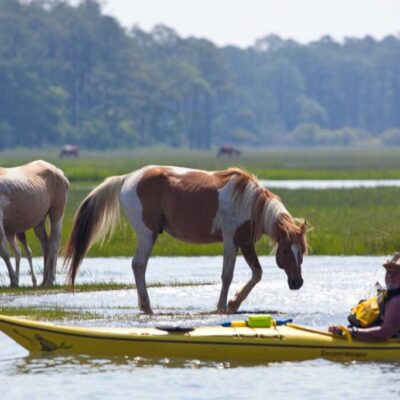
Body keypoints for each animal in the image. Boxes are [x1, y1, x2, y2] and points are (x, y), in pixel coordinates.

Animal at [64, 165, 308, 312]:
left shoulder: (246, 243)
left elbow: (257, 274)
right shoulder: (231, 241)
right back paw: (147, 306)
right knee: (138, 265)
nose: (297, 283)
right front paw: (221, 306)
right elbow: (227, 275)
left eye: (302, 251)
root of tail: (126, 178)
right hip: (147, 234)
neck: (249, 202)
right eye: (285, 251)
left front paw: (234, 302)